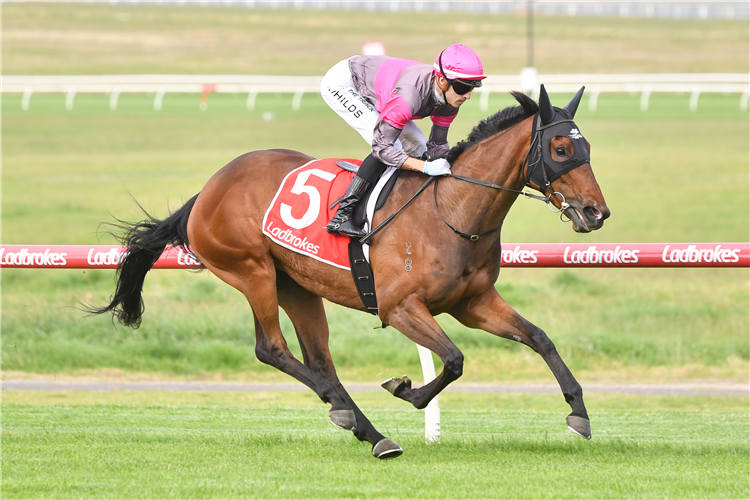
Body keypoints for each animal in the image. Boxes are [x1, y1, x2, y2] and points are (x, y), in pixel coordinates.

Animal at [92, 86, 612, 458]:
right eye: (561, 149)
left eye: (587, 147)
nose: (597, 212)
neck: (452, 210)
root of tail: (207, 190)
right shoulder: (399, 307)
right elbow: (453, 359)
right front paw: (407, 389)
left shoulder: (474, 303)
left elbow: (540, 338)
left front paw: (579, 412)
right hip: (252, 272)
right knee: (272, 349)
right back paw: (352, 416)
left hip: (298, 286)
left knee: (319, 359)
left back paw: (364, 426)